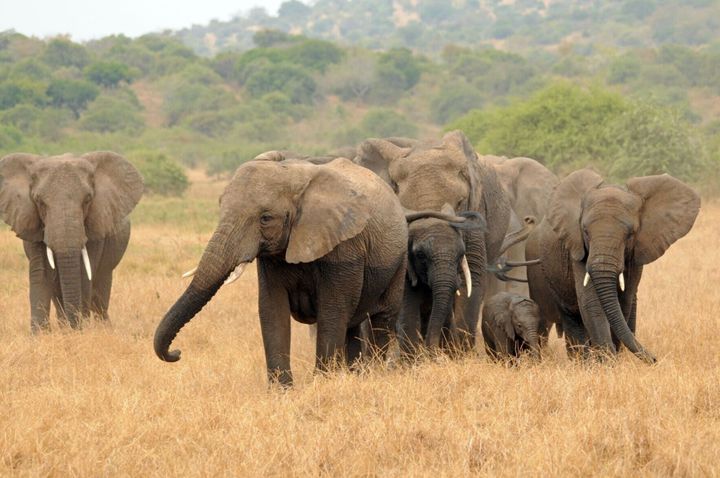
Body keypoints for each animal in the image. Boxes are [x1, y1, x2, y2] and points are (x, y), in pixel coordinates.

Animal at [0, 152, 144, 331]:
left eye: (88, 200)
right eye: (39, 201)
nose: (76, 326)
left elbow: (84, 274)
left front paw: (79, 331)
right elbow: (41, 273)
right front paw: (41, 334)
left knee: (101, 290)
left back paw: (103, 327)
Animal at [155, 156, 444, 386]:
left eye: (265, 218)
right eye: (219, 205)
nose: (177, 353)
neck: (294, 176)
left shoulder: (344, 246)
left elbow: (332, 310)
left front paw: (323, 384)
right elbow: (272, 309)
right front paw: (282, 392)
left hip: (397, 260)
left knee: (380, 318)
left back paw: (371, 375)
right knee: (351, 326)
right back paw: (353, 375)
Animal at [354, 130, 511, 355]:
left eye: (460, 203)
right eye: (405, 208)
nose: (432, 349)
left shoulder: (476, 213)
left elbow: (472, 276)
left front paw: (459, 356)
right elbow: (406, 285)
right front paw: (414, 359)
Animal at [525, 169, 700, 363]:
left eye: (630, 234)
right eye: (585, 231)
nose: (655, 359)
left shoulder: (635, 254)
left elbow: (623, 300)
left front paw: (612, 359)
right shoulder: (577, 248)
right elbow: (591, 302)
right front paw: (607, 362)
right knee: (571, 315)